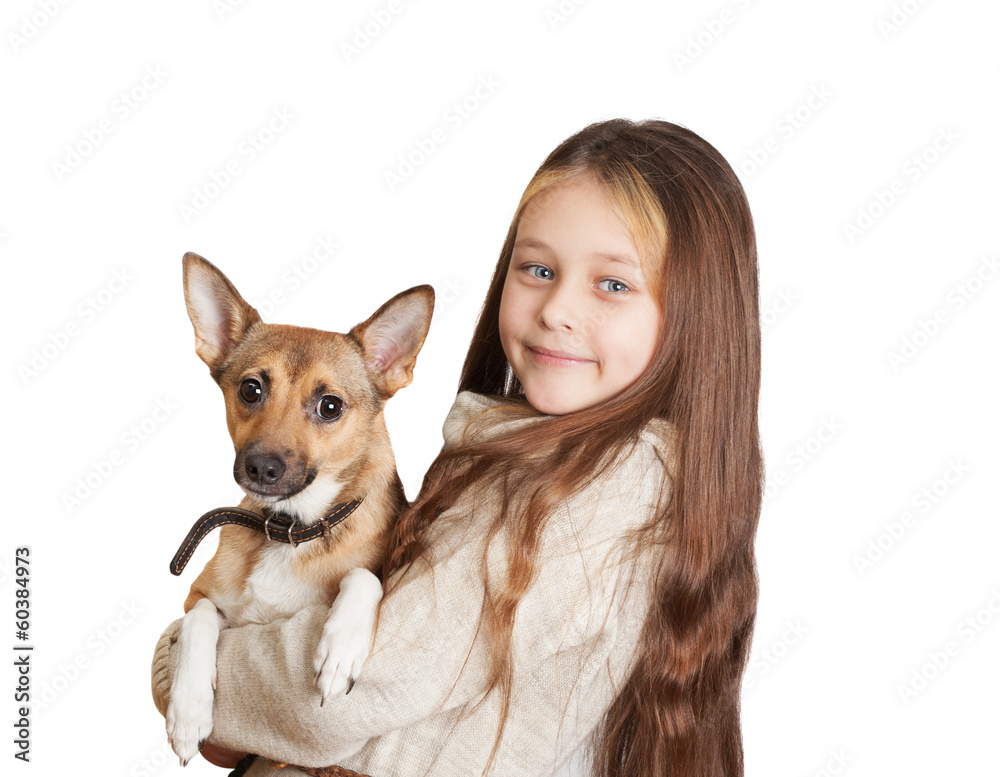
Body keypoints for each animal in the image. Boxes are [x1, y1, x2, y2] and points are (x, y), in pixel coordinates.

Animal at [164, 253, 434, 764]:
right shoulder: (200, 598)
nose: (261, 468)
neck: (291, 529)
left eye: (330, 406)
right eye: (250, 390)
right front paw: (187, 711)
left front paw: (340, 650)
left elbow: (363, 576)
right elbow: (196, 621)